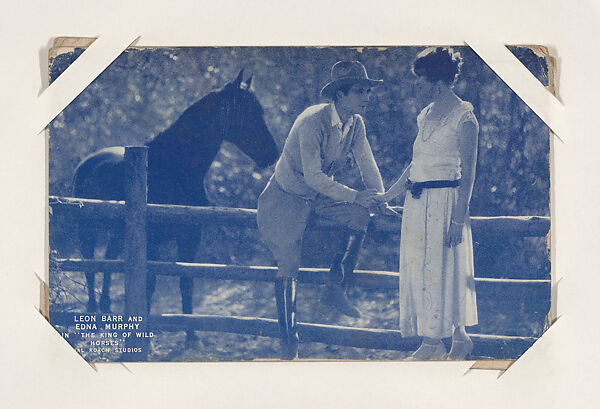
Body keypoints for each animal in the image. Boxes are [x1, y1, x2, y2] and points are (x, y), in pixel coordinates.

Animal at [72, 71, 278, 342]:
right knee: (89, 264)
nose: (272, 154)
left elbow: (186, 282)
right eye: (245, 111)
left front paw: (191, 335)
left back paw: (106, 307)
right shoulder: (152, 240)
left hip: (118, 232)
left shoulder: (190, 236)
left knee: (108, 259)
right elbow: (148, 283)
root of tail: (87, 162)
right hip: (87, 228)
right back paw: (93, 311)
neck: (173, 169)